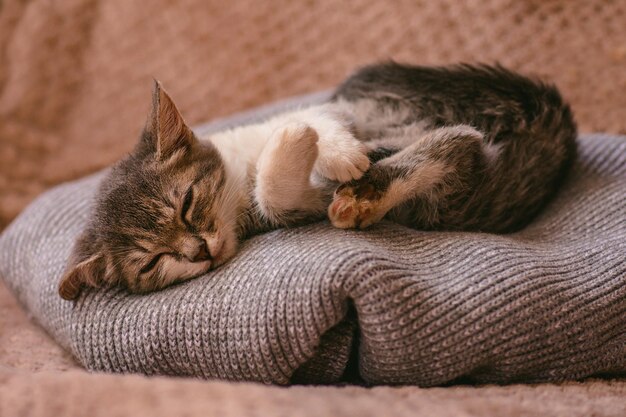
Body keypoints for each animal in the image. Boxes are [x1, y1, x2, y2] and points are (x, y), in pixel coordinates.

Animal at [58, 62, 576, 300]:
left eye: (186, 202)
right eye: (153, 263)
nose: (198, 251)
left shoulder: (339, 110)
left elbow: (321, 120)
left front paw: (326, 145)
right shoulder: (293, 208)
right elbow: (277, 193)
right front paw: (293, 140)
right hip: (445, 193)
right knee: (458, 144)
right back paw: (365, 197)